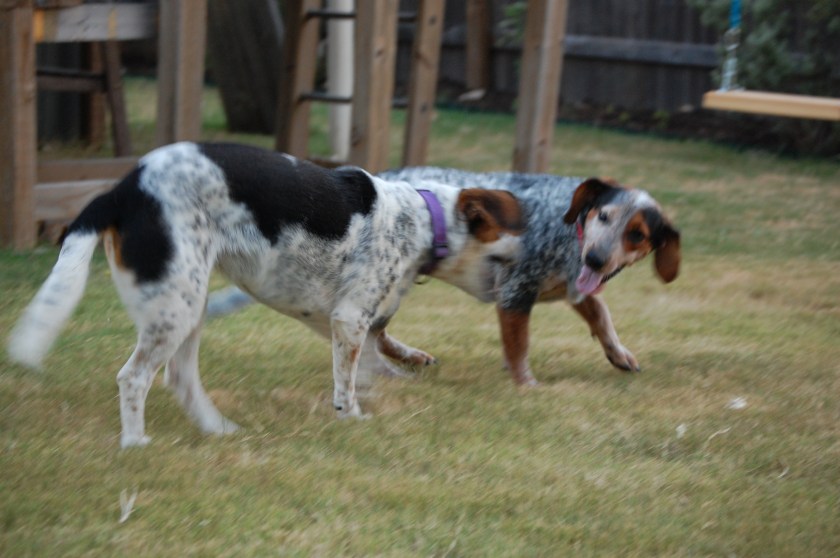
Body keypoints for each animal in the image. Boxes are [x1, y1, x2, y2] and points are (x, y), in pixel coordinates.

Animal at [7, 143, 526, 447]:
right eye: (507, 245)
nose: (522, 266)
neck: (421, 217)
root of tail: (123, 189)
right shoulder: (350, 317)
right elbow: (349, 380)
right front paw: (351, 416)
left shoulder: (331, 318)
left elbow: (373, 360)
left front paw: (403, 368)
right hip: (177, 305)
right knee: (134, 378)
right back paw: (136, 445)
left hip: (187, 303)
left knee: (179, 376)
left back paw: (217, 429)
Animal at [209, 168, 680, 385]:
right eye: (604, 215)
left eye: (638, 234)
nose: (598, 259)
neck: (569, 232)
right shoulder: (515, 295)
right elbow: (519, 348)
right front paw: (526, 385)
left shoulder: (577, 289)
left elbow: (602, 316)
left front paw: (619, 354)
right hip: (388, 288)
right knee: (375, 333)